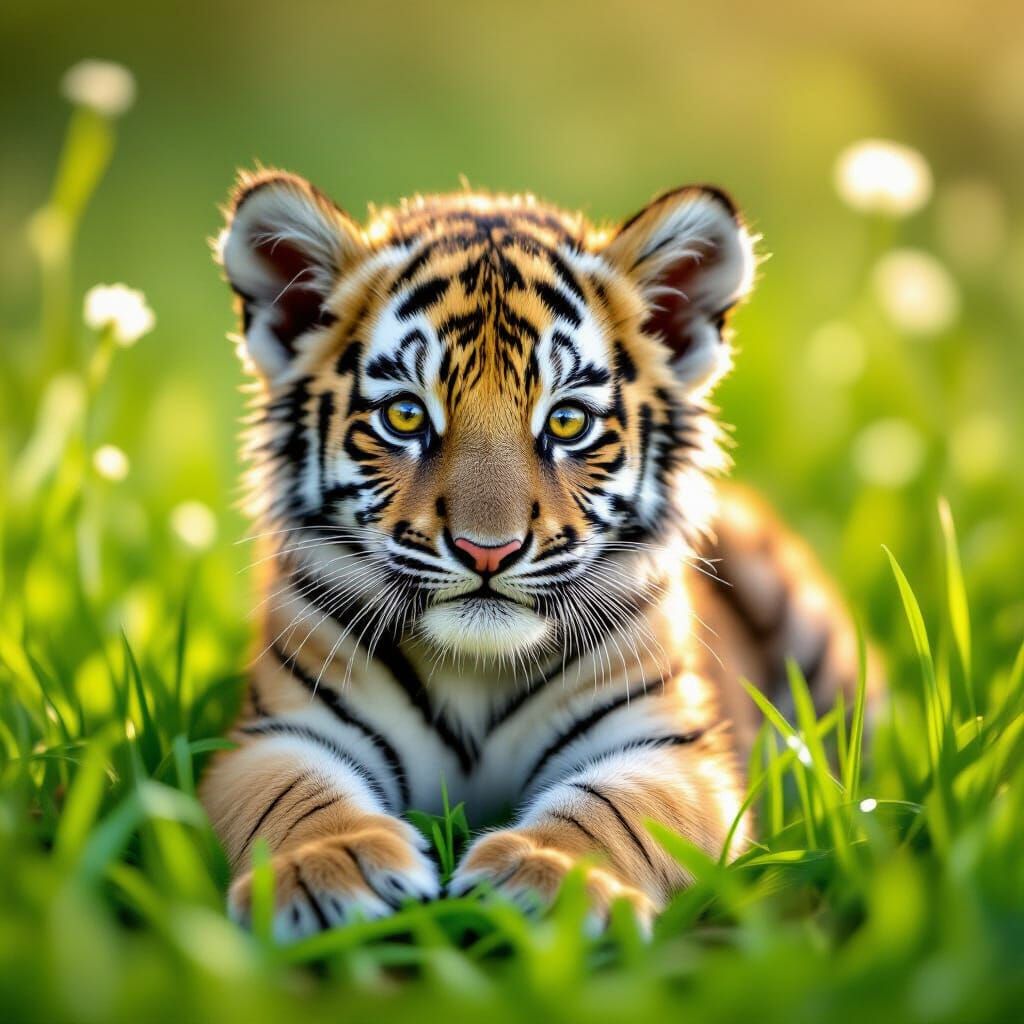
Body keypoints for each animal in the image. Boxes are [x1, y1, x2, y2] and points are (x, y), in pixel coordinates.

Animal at [200, 169, 869, 940]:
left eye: (567, 422)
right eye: (405, 416)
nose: (487, 551)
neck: (474, 670)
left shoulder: (672, 748)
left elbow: (613, 808)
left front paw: (548, 878)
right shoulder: (275, 731)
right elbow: (295, 793)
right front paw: (328, 869)